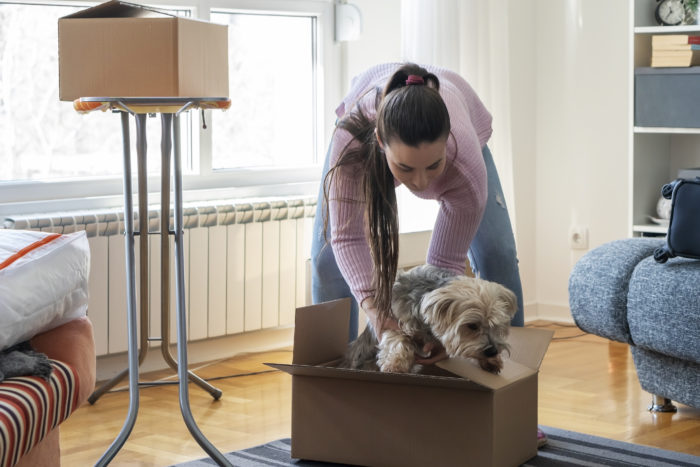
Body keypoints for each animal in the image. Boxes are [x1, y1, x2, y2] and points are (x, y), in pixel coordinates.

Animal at [342, 266, 516, 374]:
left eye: (497, 325)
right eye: (472, 326)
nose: (492, 351)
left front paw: (492, 361)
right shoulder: (394, 320)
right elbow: (398, 339)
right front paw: (395, 365)